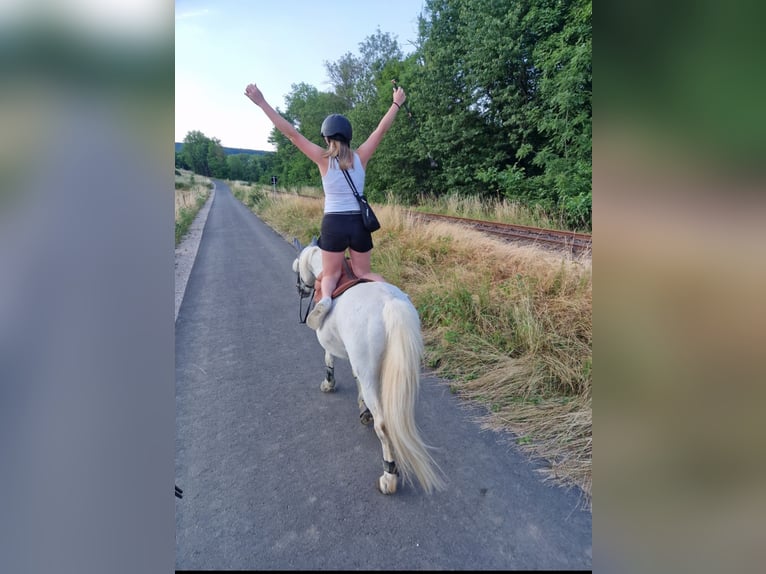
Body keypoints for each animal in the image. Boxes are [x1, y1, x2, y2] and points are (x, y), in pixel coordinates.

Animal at [292, 238, 445, 495]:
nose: (301, 289)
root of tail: (390, 304)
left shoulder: (334, 348)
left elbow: (329, 360)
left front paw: (329, 384)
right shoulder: (359, 365)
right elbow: (357, 382)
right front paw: (363, 409)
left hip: (370, 370)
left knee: (384, 425)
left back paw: (389, 476)